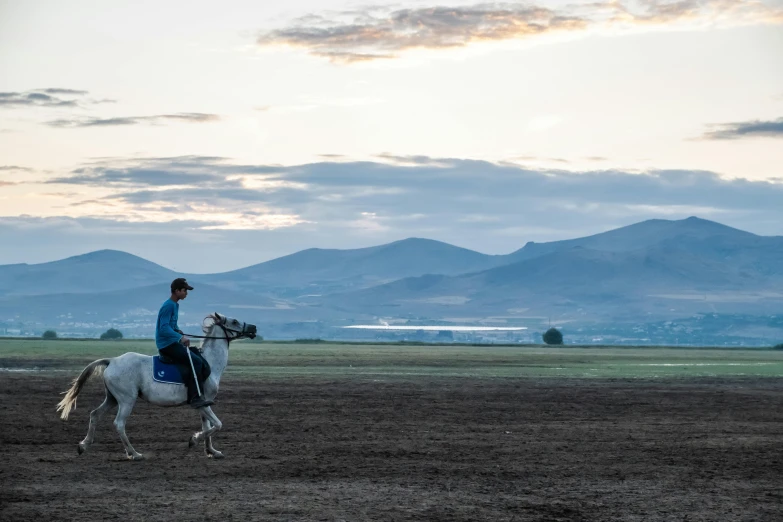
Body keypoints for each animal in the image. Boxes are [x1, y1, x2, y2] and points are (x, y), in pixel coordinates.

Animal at [56, 310, 258, 458]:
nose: (254, 327)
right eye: (234, 321)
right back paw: (134, 453)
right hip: (126, 400)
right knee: (119, 423)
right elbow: (217, 425)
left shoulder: (203, 403)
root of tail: (112, 360)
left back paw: (84, 446)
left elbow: (208, 426)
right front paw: (193, 440)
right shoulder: (202, 402)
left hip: (112, 398)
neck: (209, 361)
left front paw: (211, 451)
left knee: (95, 415)